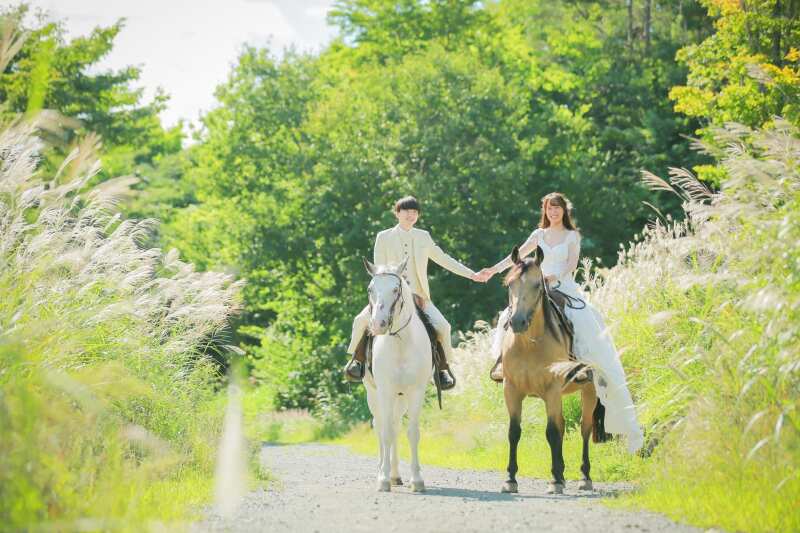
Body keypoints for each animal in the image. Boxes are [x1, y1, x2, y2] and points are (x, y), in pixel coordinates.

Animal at [362, 258, 432, 490]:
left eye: (395, 289)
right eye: (370, 289)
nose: (378, 325)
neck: (401, 343)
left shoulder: (416, 392)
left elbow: (412, 433)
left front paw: (417, 480)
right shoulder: (385, 391)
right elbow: (385, 433)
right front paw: (382, 480)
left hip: (400, 398)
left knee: (395, 425)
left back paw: (395, 475)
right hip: (373, 394)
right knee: (381, 426)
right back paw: (383, 472)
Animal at [496, 243, 604, 492]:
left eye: (537, 285)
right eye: (509, 284)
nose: (517, 322)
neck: (529, 344)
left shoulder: (552, 389)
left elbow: (552, 432)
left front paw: (555, 481)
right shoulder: (511, 390)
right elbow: (514, 432)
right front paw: (510, 479)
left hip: (589, 390)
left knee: (584, 428)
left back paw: (584, 477)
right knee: (564, 425)